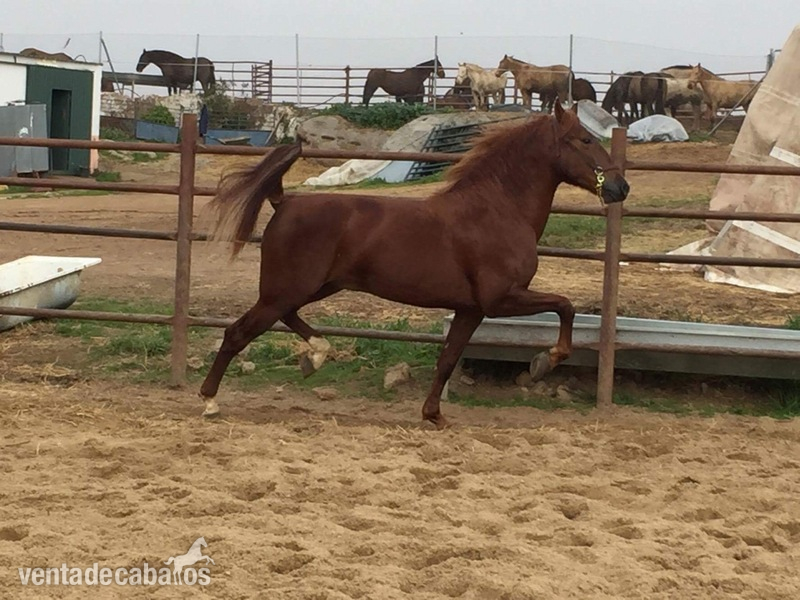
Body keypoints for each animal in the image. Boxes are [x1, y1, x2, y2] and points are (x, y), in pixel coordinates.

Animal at [198, 102, 629, 429]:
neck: (497, 211)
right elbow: (565, 305)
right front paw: (546, 361)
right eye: (585, 139)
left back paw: (317, 354)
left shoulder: (471, 309)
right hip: (285, 289)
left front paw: (433, 415)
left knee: (285, 318)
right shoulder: (501, 299)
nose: (619, 188)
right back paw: (209, 401)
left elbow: (447, 360)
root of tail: (284, 201)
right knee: (237, 333)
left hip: (311, 286)